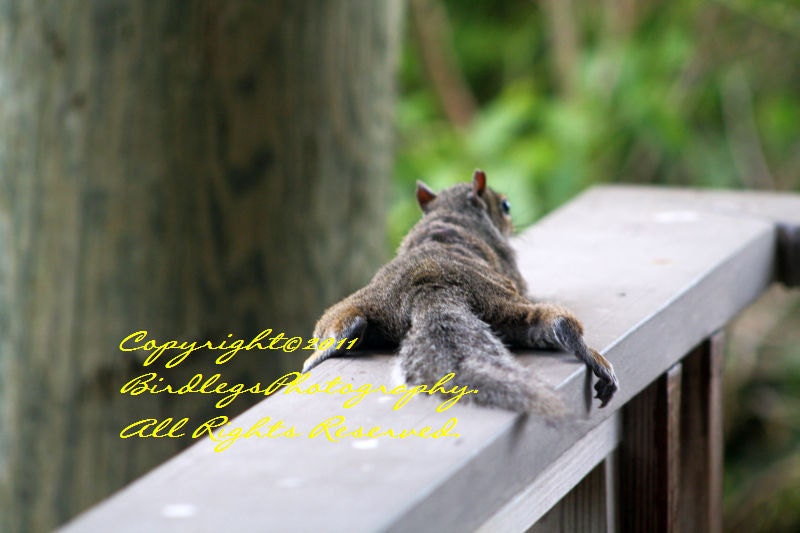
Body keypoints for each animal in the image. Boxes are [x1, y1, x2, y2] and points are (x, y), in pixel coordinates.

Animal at [302, 170, 619, 417]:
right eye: (505, 205)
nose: (512, 225)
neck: (450, 213)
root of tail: (431, 289)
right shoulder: (512, 267)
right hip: (502, 303)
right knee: (558, 321)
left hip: (347, 310)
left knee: (348, 325)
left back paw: (319, 356)